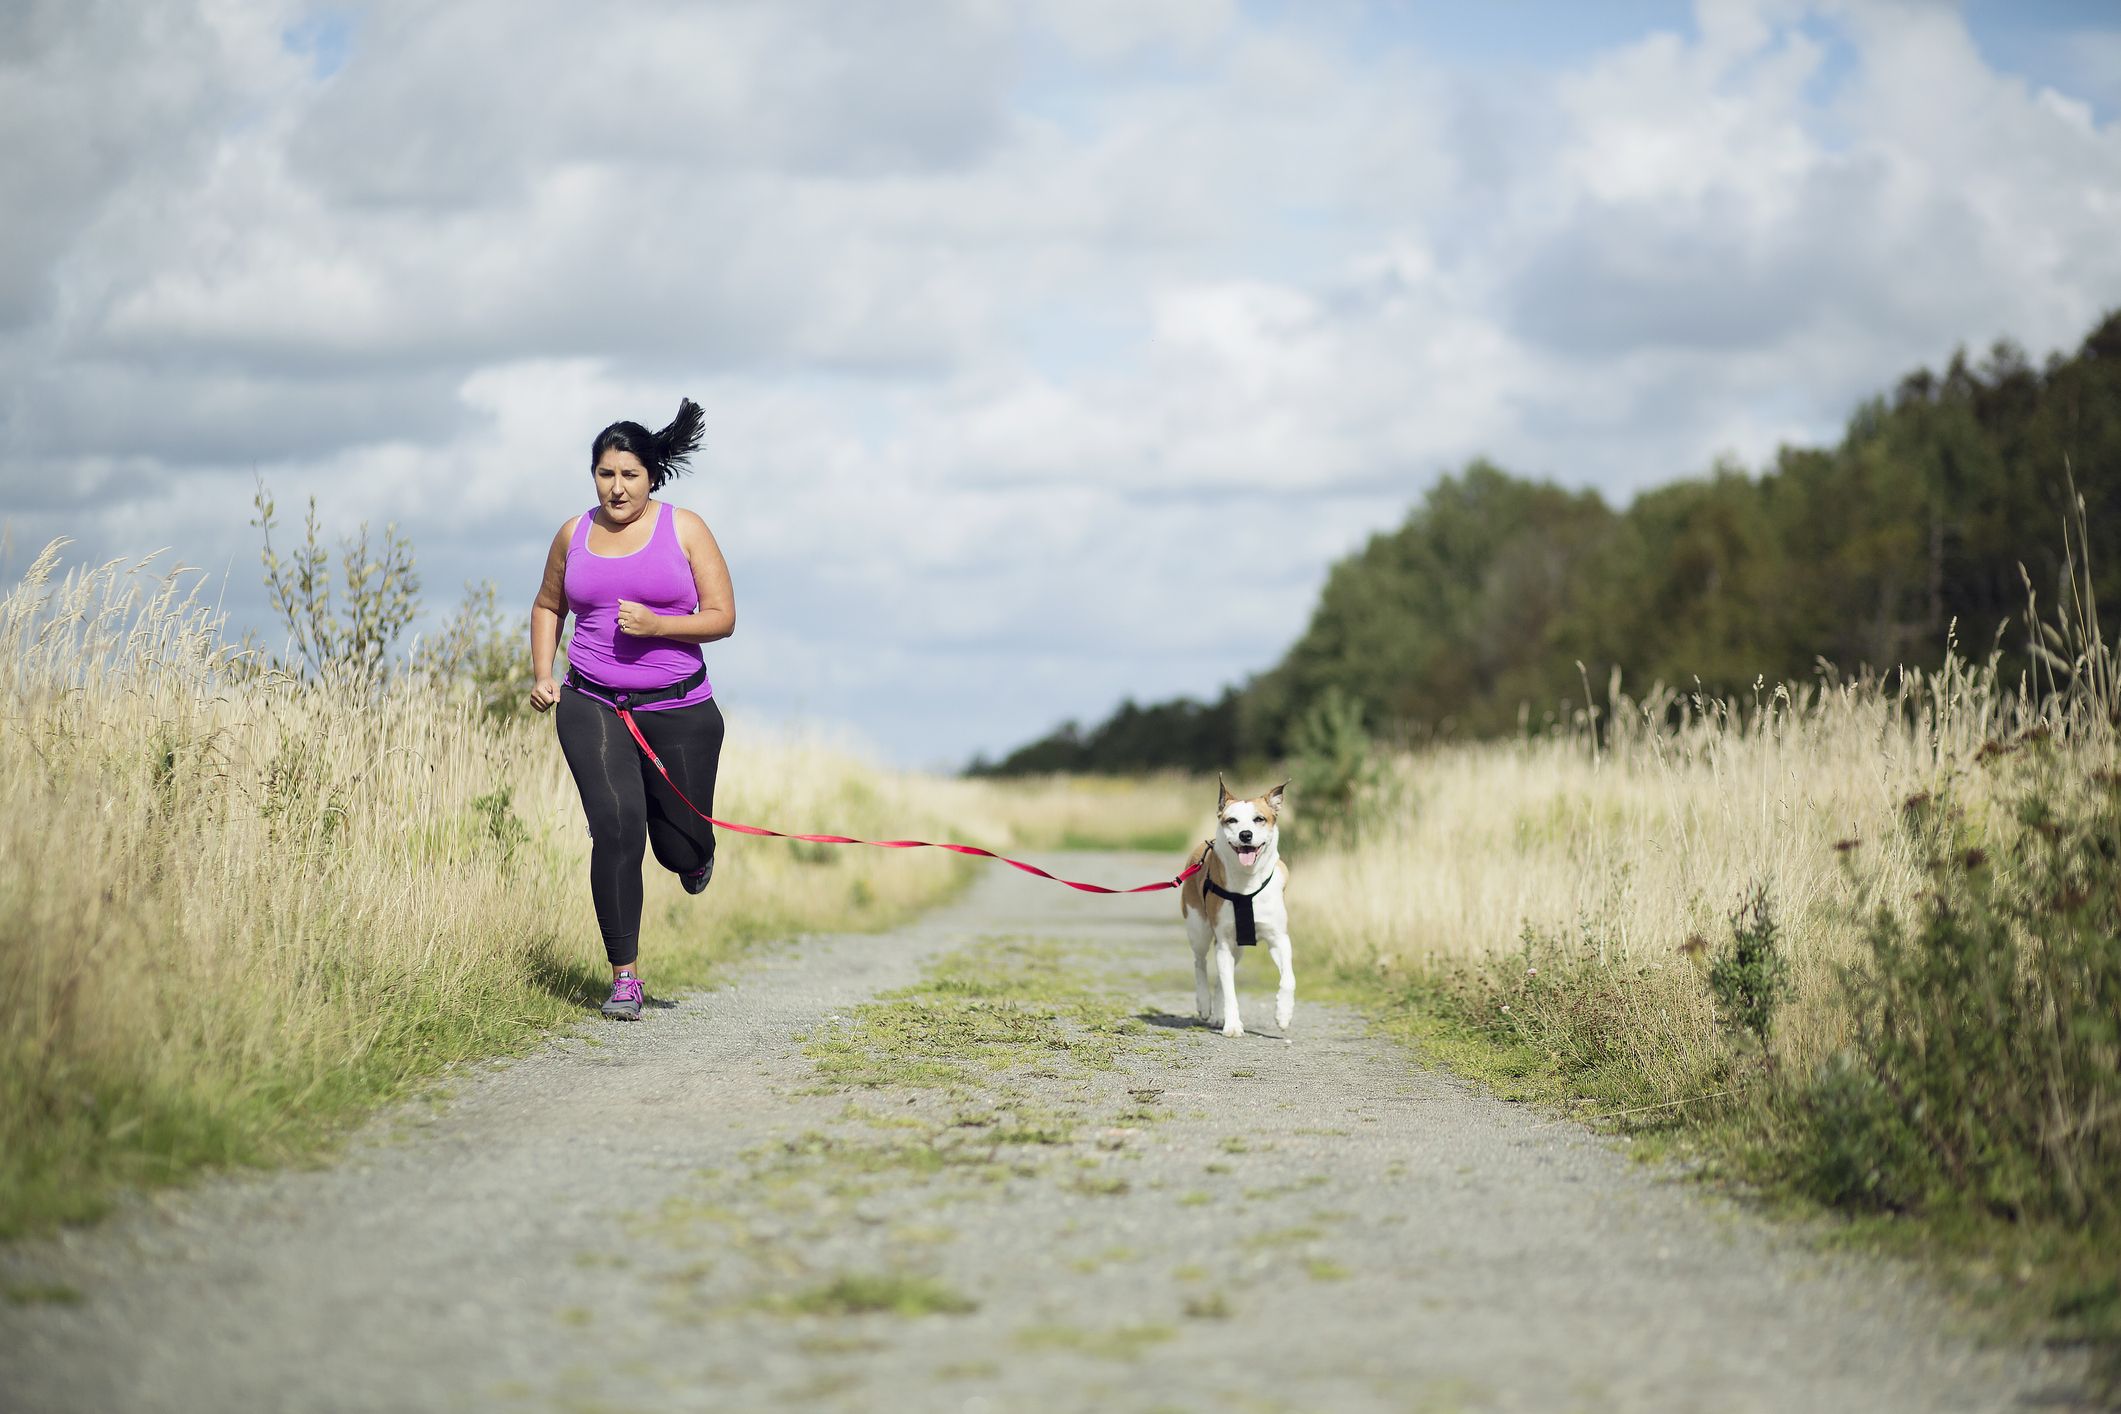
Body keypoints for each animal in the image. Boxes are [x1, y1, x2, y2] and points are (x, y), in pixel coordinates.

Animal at [1179, 775, 1289, 1038]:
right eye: (1232, 820)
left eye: (1259, 819)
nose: (1246, 834)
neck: (1247, 883)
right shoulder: (1223, 940)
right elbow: (1229, 990)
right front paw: (1232, 1025)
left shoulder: (1279, 937)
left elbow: (1288, 978)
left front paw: (1283, 1014)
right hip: (1198, 927)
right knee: (1201, 962)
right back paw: (1205, 1005)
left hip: (1238, 946)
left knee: (1221, 975)